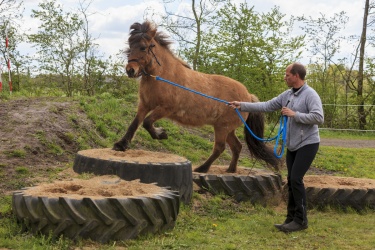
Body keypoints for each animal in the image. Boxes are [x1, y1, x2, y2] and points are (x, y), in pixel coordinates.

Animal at [113, 20, 280, 173]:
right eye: (130, 46)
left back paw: (202, 168)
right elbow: (135, 124)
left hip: (222, 128)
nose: (130, 70)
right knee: (237, 146)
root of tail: (248, 97)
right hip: (226, 129)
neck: (162, 77)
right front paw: (121, 145)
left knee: (220, 148)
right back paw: (230, 170)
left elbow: (147, 122)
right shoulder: (144, 105)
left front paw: (161, 134)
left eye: (143, 47)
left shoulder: (166, 108)